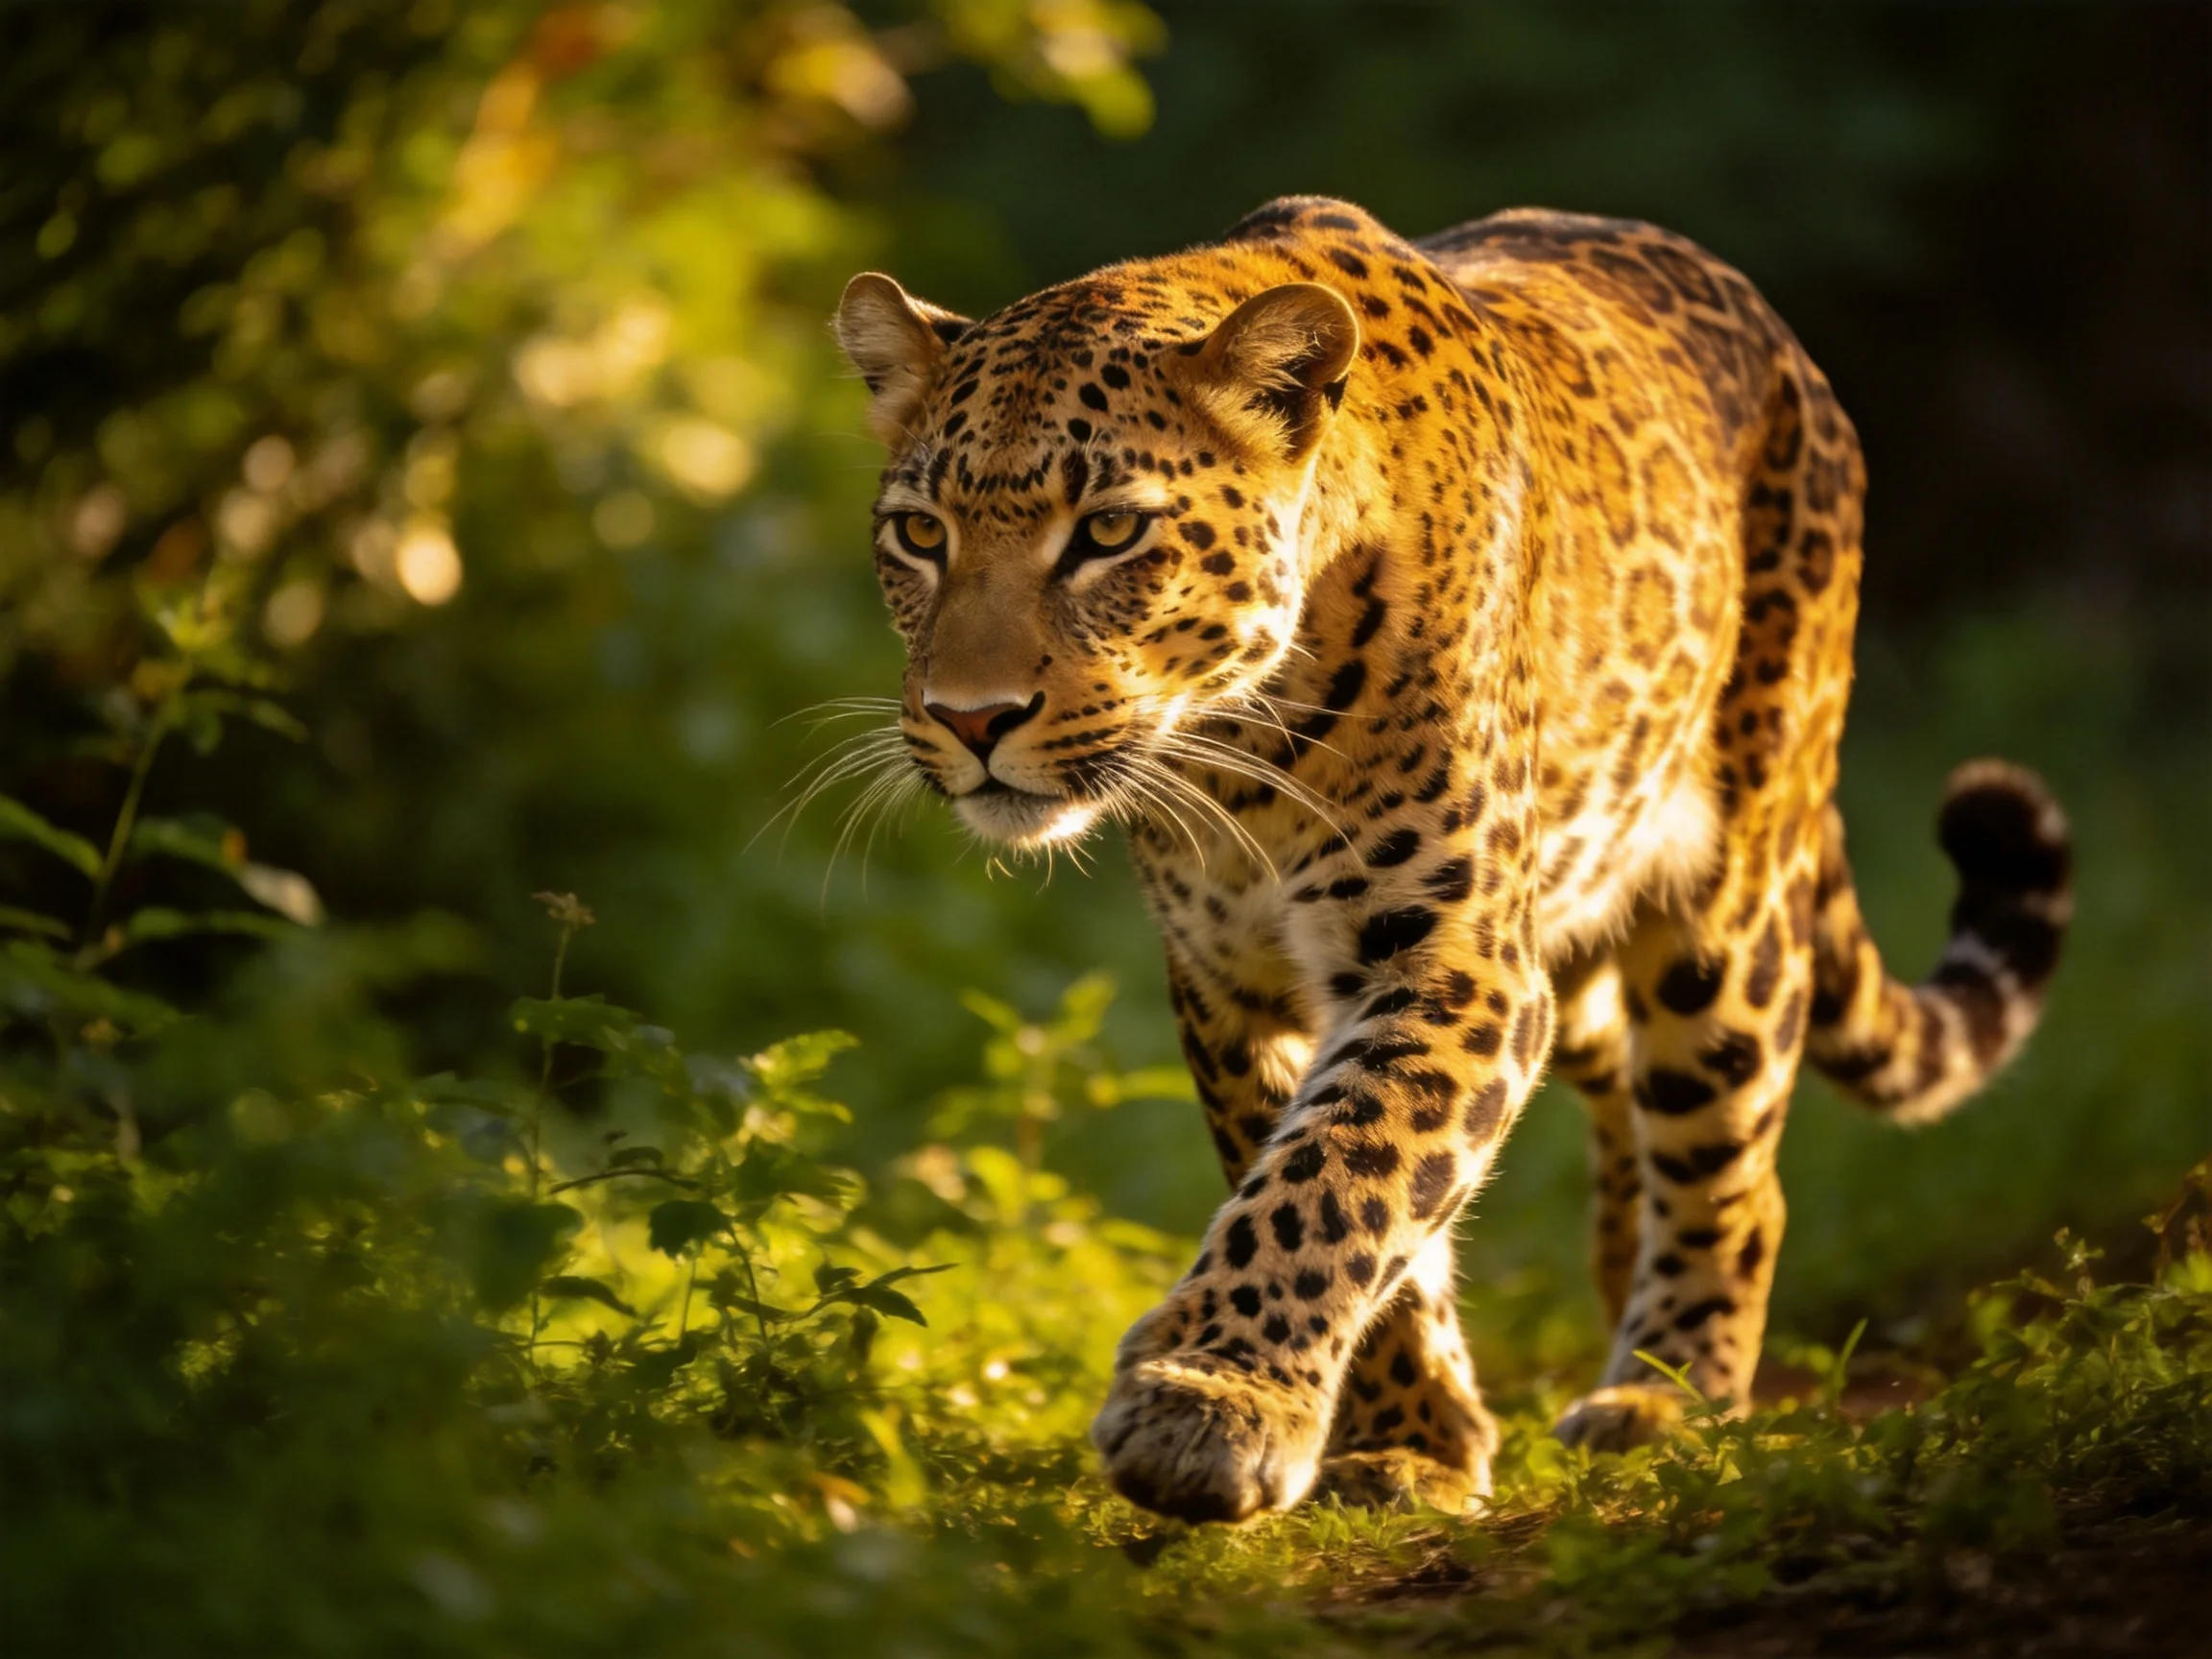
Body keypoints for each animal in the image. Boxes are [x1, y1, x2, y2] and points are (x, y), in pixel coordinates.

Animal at [830, 196, 2072, 1524]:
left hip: (1730, 900)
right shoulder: (1232, 987)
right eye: (920, 534)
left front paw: (1210, 1406)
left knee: (1730, 1161)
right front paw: (1408, 1438)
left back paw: (1665, 1397)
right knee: (1619, 1090)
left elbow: (1343, 1171)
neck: (1235, 756)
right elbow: (1352, 1188)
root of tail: (1787, 348)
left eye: (1110, 532)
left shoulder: (1454, 958)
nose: (970, 719)